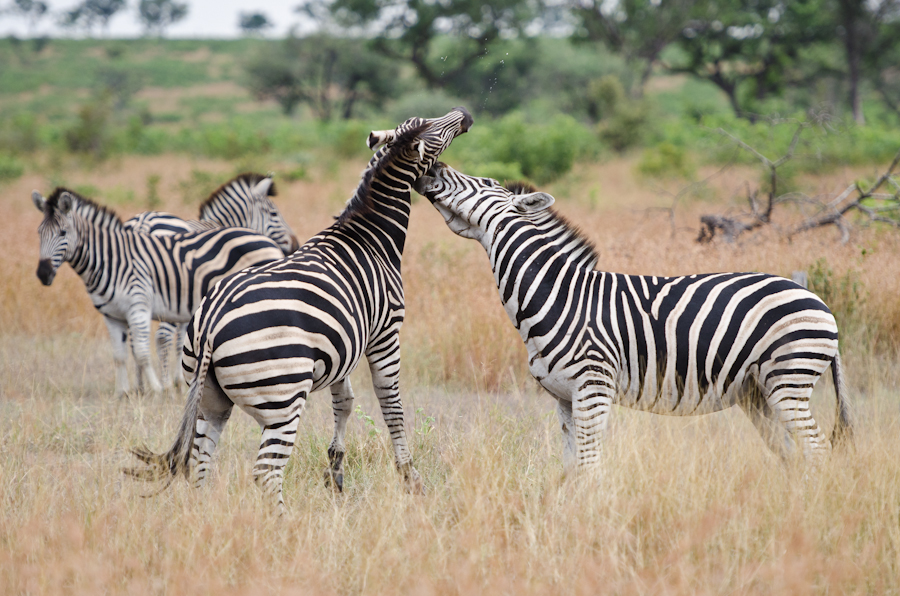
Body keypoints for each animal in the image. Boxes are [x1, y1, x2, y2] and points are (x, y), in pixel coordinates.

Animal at [32, 188, 286, 399]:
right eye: (39, 233)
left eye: (62, 232)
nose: (43, 273)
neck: (110, 258)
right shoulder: (115, 314)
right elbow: (124, 354)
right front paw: (129, 392)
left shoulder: (141, 307)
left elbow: (145, 351)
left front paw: (158, 388)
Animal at [123, 173, 301, 389]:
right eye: (274, 213)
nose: (295, 244)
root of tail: (143, 222)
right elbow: (181, 338)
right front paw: (178, 381)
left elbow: (183, 337)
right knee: (162, 336)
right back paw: (164, 386)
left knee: (133, 339)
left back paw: (139, 387)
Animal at [414, 162, 852, 473]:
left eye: (483, 182)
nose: (431, 168)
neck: (556, 296)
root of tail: (818, 301)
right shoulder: (563, 397)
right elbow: (570, 469)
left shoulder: (593, 388)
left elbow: (590, 468)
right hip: (757, 392)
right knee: (792, 455)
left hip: (788, 380)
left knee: (816, 450)